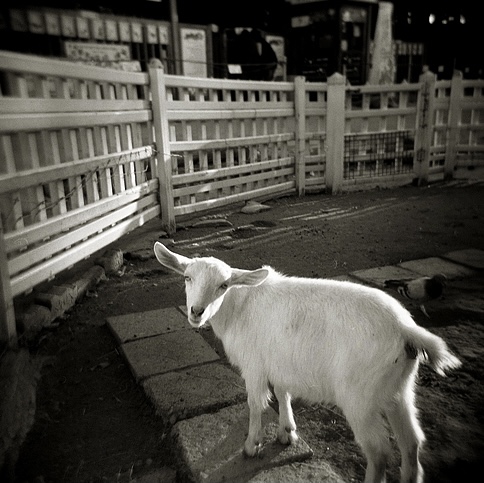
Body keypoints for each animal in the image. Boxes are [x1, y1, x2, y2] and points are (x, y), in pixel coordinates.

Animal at [153, 241, 461, 483]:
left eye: (223, 285)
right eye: (187, 278)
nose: (196, 311)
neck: (240, 307)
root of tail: (405, 329)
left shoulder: (254, 367)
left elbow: (255, 404)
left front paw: (252, 446)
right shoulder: (279, 361)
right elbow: (282, 392)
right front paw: (287, 432)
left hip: (359, 396)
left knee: (379, 452)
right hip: (397, 390)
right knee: (412, 442)